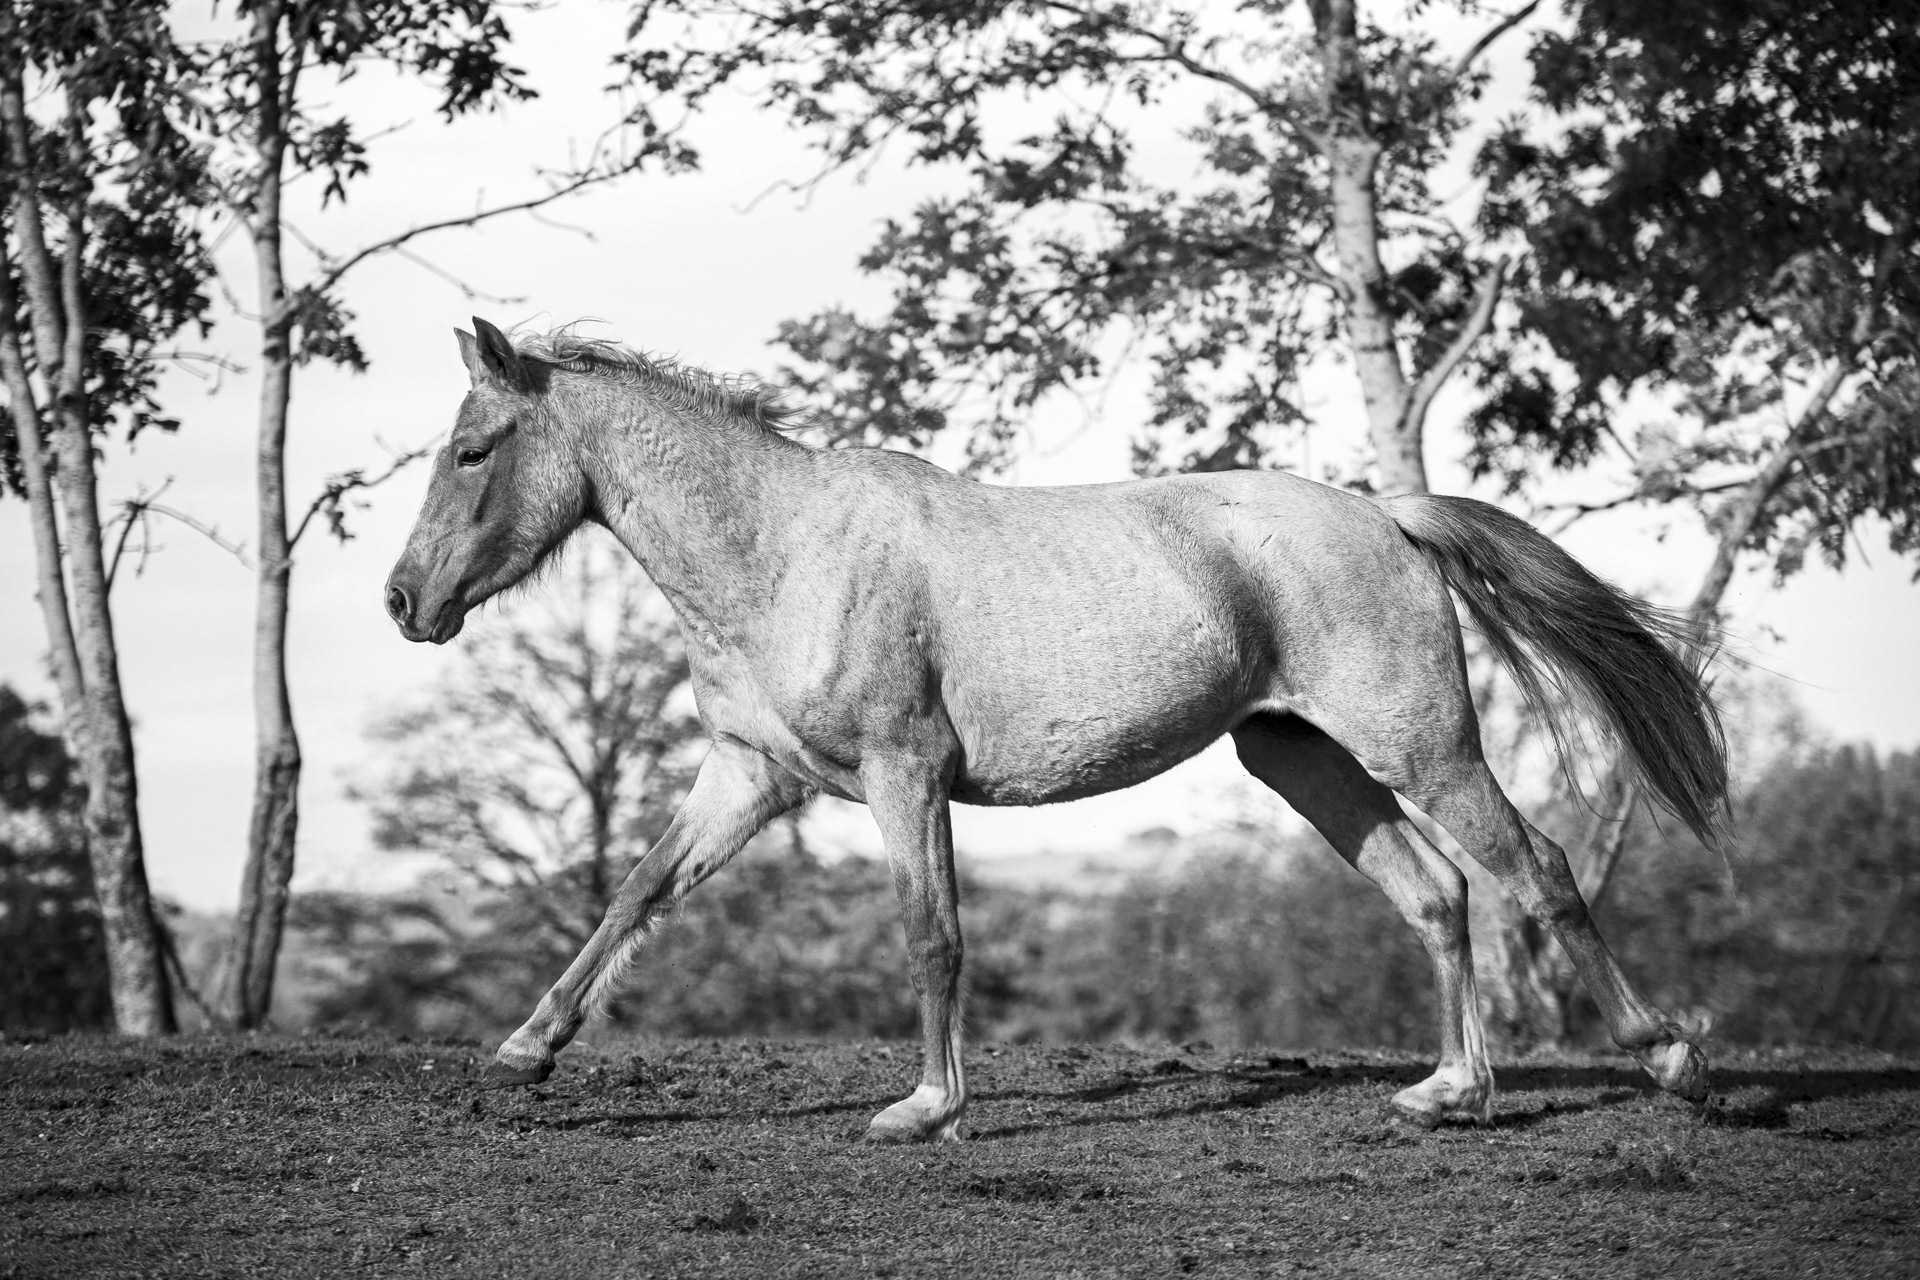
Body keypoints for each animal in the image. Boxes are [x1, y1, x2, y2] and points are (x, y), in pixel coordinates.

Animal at [385, 317, 1727, 1140]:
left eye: (474, 448)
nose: (404, 601)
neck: (783, 549)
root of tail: (1384, 513)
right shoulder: (750, 777)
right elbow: (636, 895)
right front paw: (525, 1049)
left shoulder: (905, 772)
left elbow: (931, 934)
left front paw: (928, 1107)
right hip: (1299, 754)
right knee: (1436, 893)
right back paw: (1450, 1089)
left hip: (1424, 747)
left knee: (1534, 869)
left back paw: (1668, 1057)